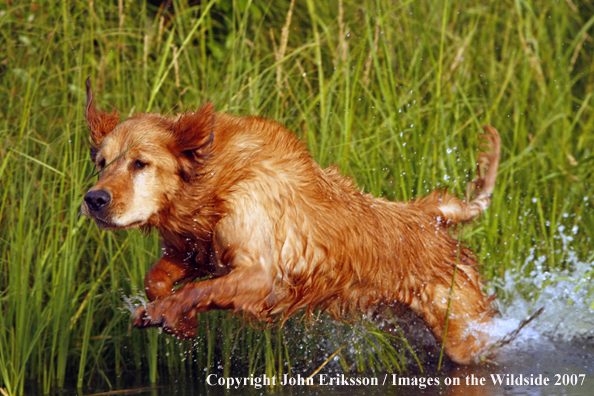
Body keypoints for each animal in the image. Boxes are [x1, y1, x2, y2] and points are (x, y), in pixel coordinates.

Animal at [81, 78, 498, 366]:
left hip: (462, 331)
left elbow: (196, 291)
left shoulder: (260, 273)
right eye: (101, 163)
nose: (93, 200)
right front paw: (179, 321)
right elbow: (156, 278)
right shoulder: (193, 252)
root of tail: (431, 216)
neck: (214, 183)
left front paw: (168, 312)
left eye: (140, 163)